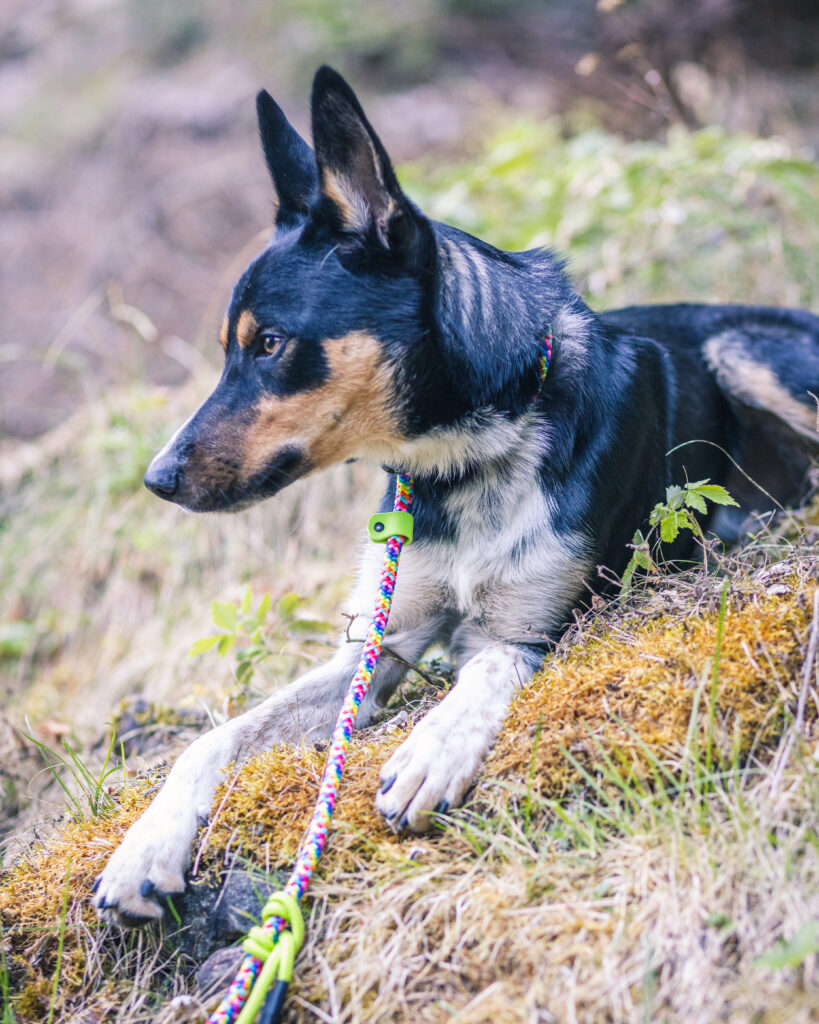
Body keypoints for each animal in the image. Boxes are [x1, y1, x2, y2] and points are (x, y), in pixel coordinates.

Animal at [94, 66, 818, 929]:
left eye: (269, 344)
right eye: (230, 350)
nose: (157, 480)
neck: (466, 457)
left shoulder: (534, 624)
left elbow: (484, 672)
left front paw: (433, 748)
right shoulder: (379, 644)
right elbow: (215, 738)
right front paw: (146, 845)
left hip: (742, 347)